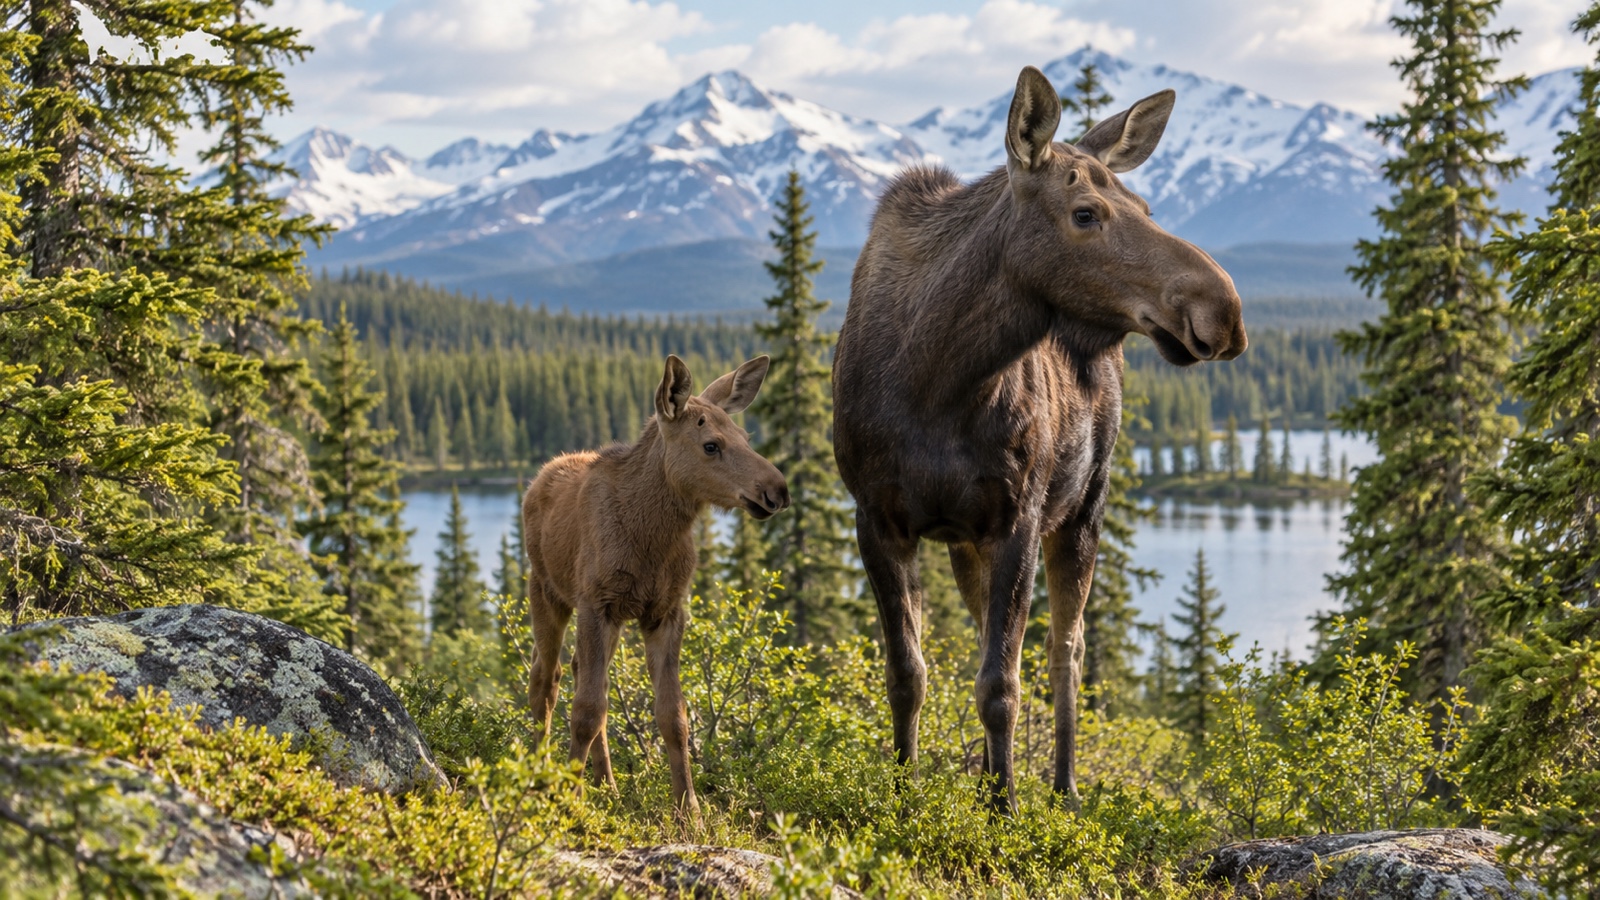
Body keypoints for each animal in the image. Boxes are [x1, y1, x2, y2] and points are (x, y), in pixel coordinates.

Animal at [523, 354, 789, 821]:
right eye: (711, 445)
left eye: (745, 436)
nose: (777, 490)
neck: (651, 536)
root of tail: (536, 479)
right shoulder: (596, 602)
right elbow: (586, 710)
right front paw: (570, 801)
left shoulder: (665, 611)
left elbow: (673, 716)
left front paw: (690, 812)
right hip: (547, 590)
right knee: (546, 679)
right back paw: (543, 776)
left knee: (580, 673)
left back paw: (606, 784)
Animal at [832, 66, 1247, 813]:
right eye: (1086, 213)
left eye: (1144, 204)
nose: (1222, 310)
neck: (934, 378)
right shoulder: (877, 518)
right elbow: (909, 673)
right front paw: (906, 793)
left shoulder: (1017, 518)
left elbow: (1002, 684)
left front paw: (1005, 804)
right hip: (967, 541)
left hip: (1085, 507)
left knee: (1065, 652)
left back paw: (1063, 786)